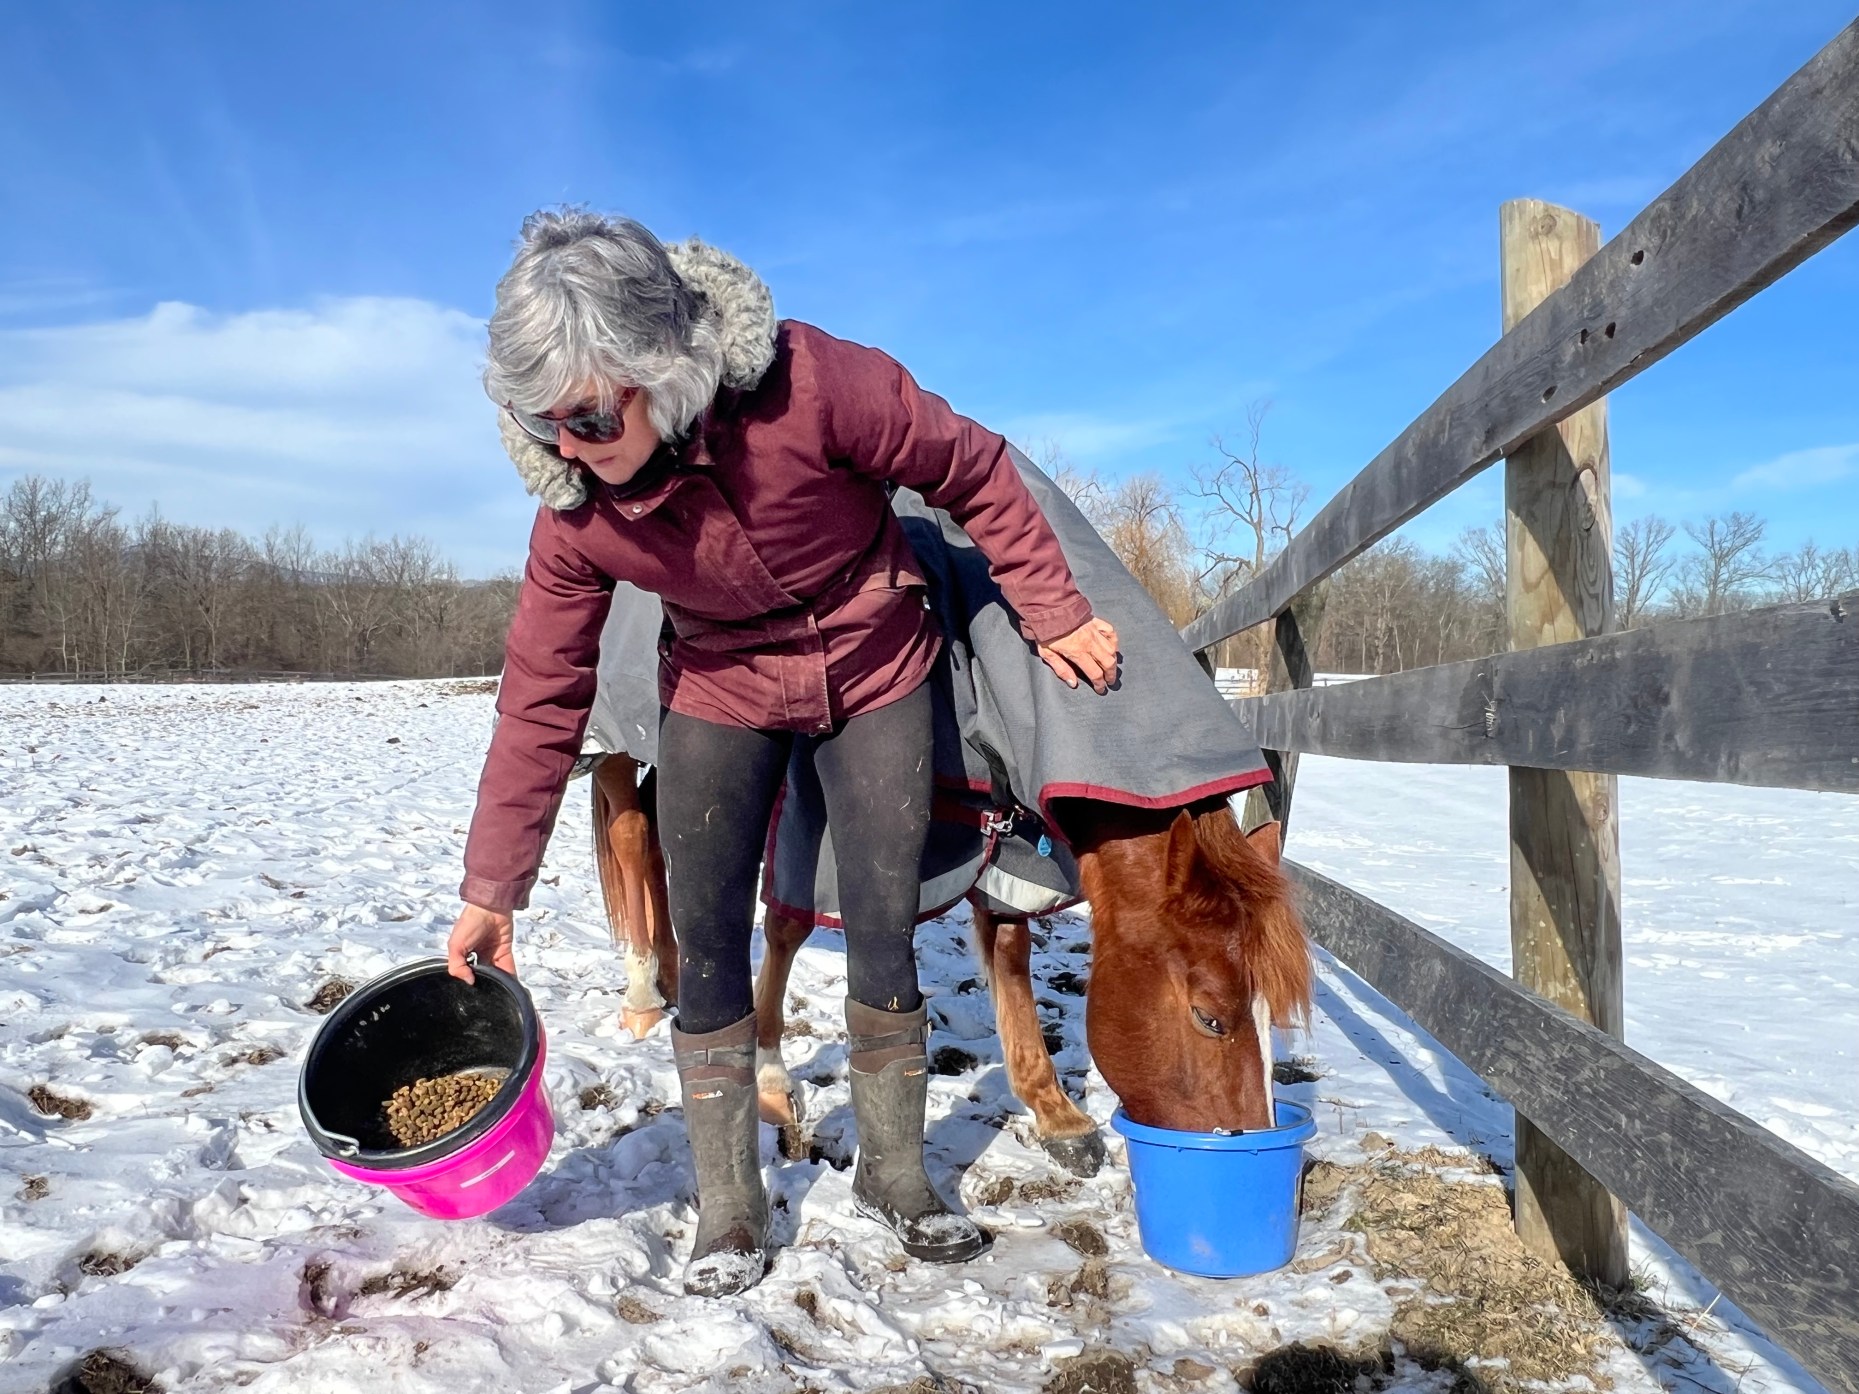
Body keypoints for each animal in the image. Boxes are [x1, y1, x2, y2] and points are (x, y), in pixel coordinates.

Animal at [590, 752, 1312, 1174]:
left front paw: (1056, 1115)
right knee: (631, 826)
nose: (1246, 1141)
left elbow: (1010, 952)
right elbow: (790, 922)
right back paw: (643, 991)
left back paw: (674, 974)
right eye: (1210, 1018)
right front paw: (769, 1078)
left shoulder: (1007, 834)